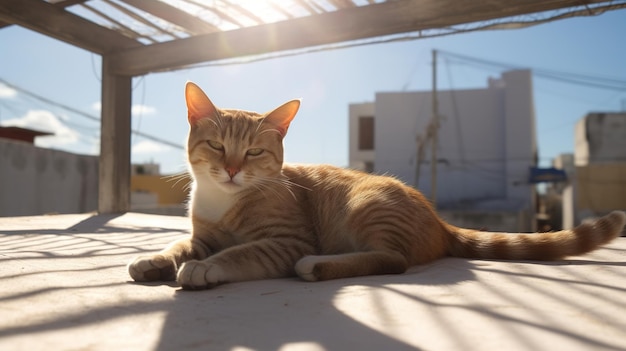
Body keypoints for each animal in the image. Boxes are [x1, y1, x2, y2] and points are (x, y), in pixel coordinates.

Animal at [128, 82, 624, 292]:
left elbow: (237, 253)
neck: (224, 200)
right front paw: (155, 260)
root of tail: (439, 220)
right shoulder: (201, 235)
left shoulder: (286, 242)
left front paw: (204, 269)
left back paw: (319, 267)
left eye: (252, 153)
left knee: (393, 260)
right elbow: (179, 246)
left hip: (365, 206)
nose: (231, 170)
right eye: (216, 146)